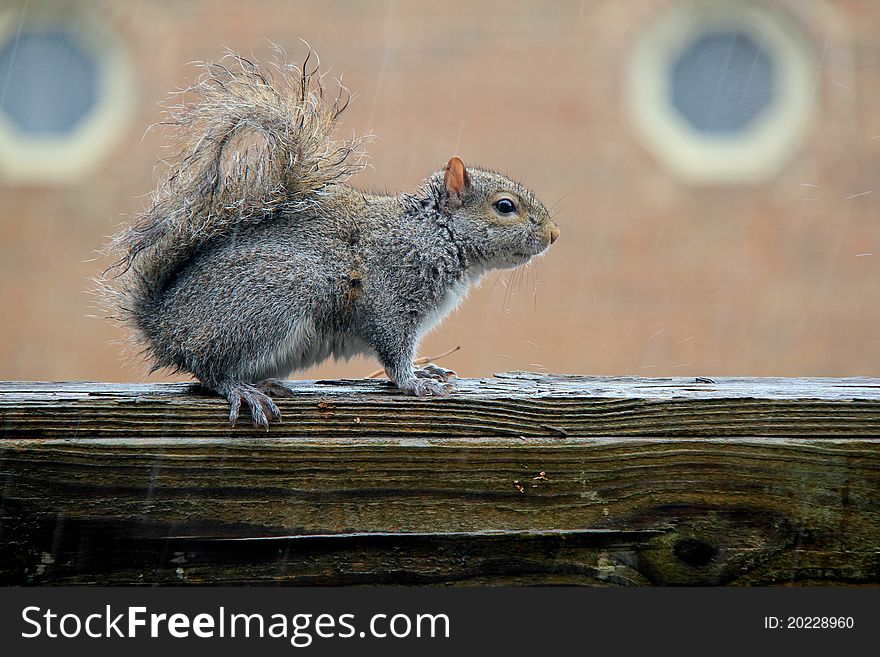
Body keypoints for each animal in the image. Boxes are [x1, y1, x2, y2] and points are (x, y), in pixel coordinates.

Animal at [98, 52, 556, 430]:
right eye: (504, 206)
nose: (553, 234)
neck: (434, 233)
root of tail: (162, 324)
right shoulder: (391, 294)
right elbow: (394, 348)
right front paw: (415, 382)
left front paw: (428, 372)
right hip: (275, 297)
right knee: (208, 370)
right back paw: (240, 389)